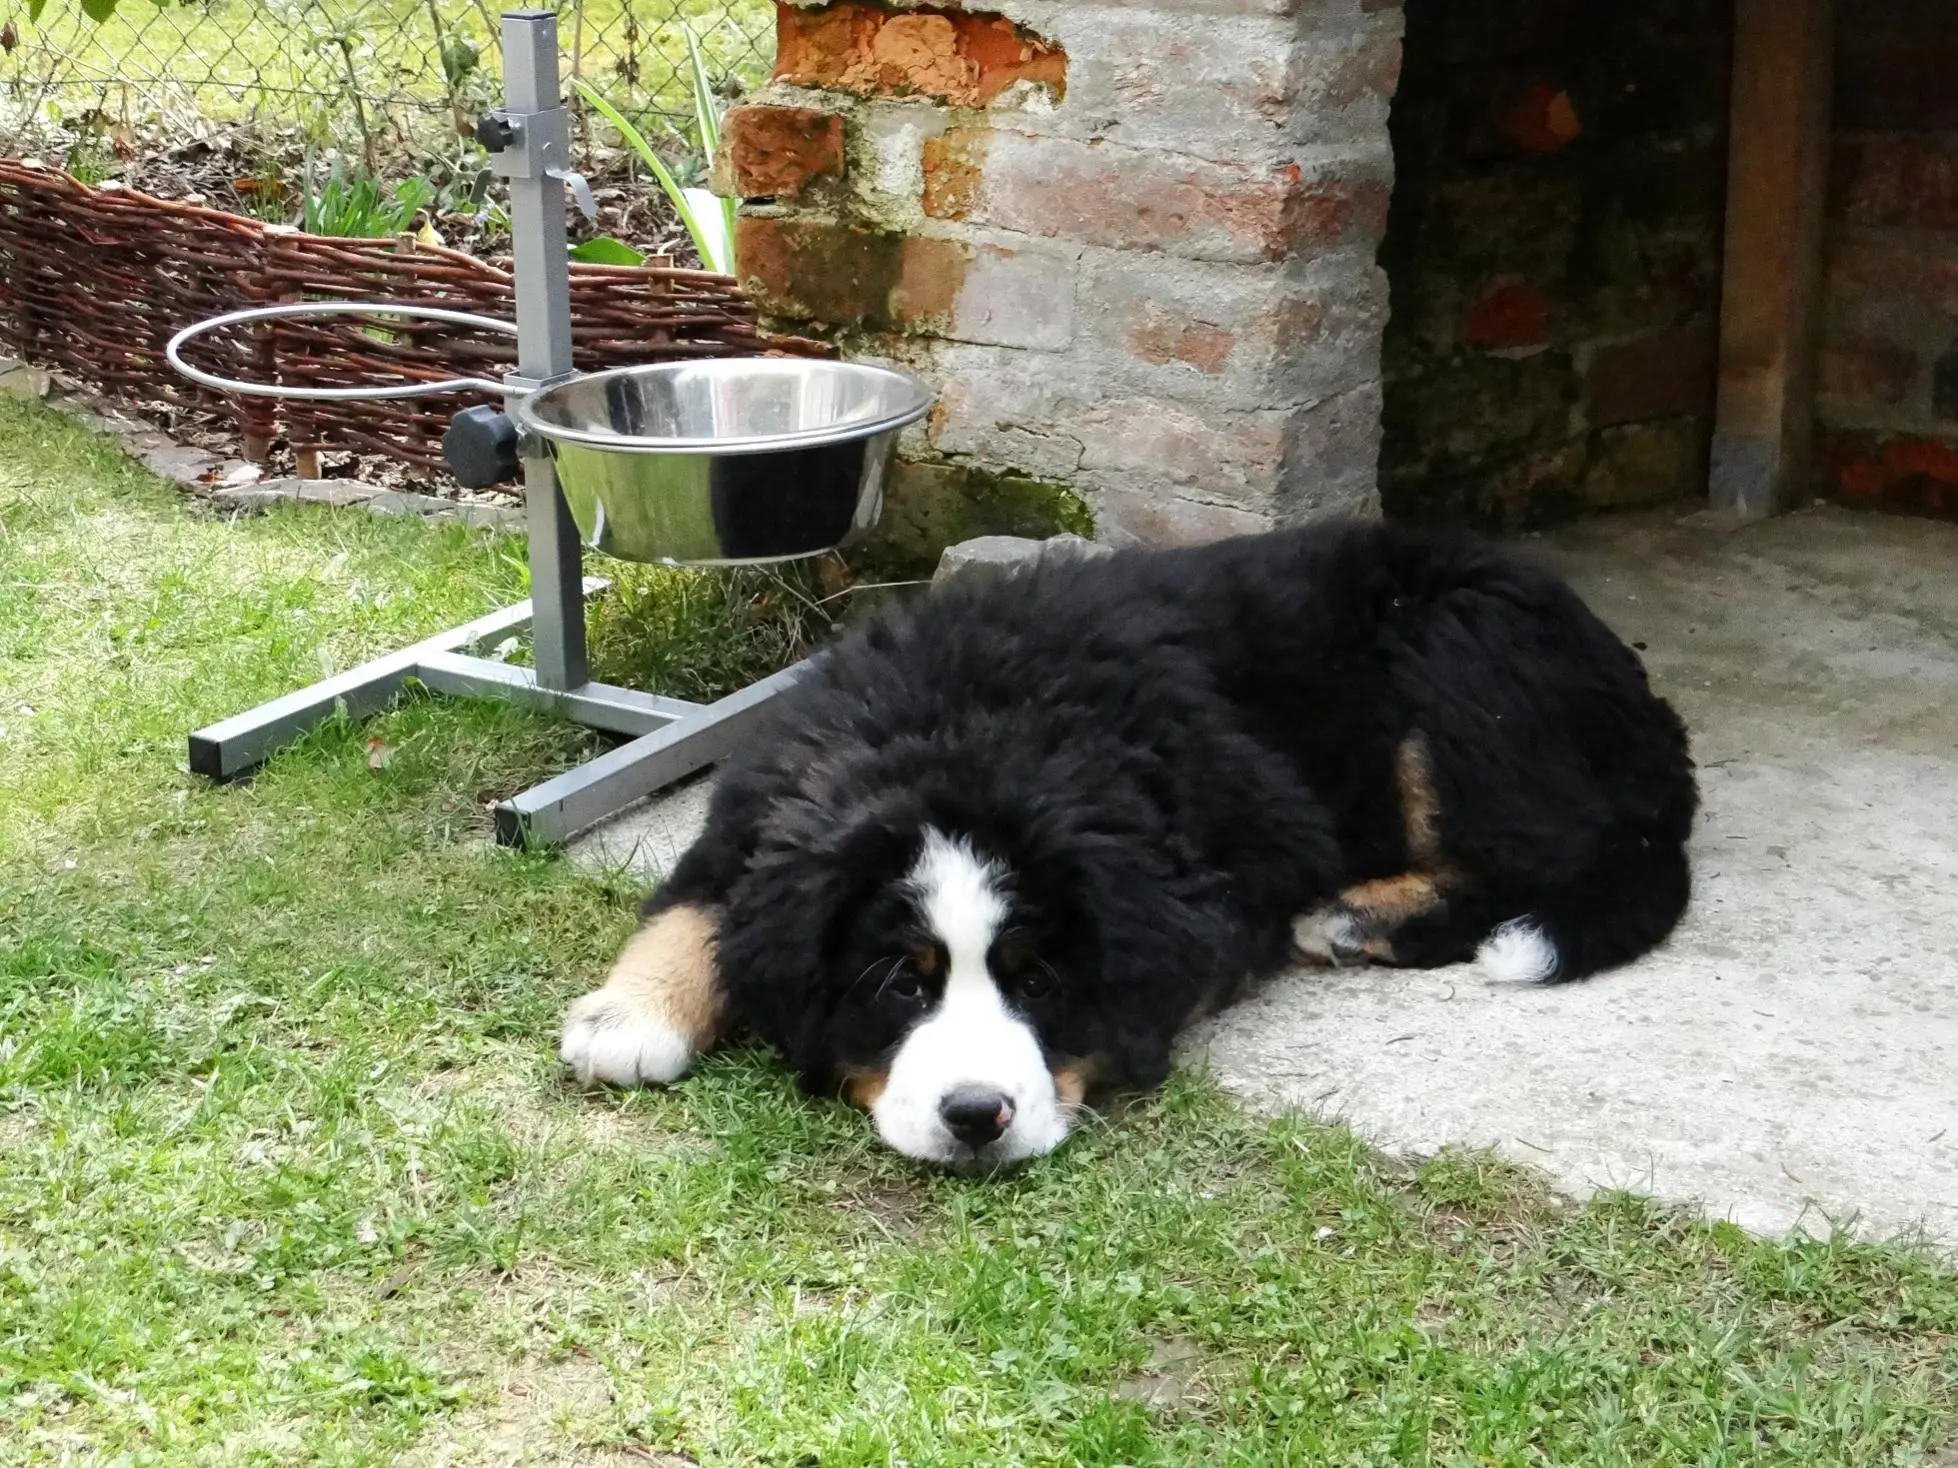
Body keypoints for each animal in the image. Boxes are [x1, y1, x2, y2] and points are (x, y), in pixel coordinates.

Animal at [559, 519, 1697, 1169]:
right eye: (900, 984)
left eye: (1037, 981)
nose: (976, 1115)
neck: (968, 719)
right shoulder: (762, 814)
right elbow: (694, 910)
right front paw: (627, 1016)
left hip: (1454, 650)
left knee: (1539, 855)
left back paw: (1359, 914)